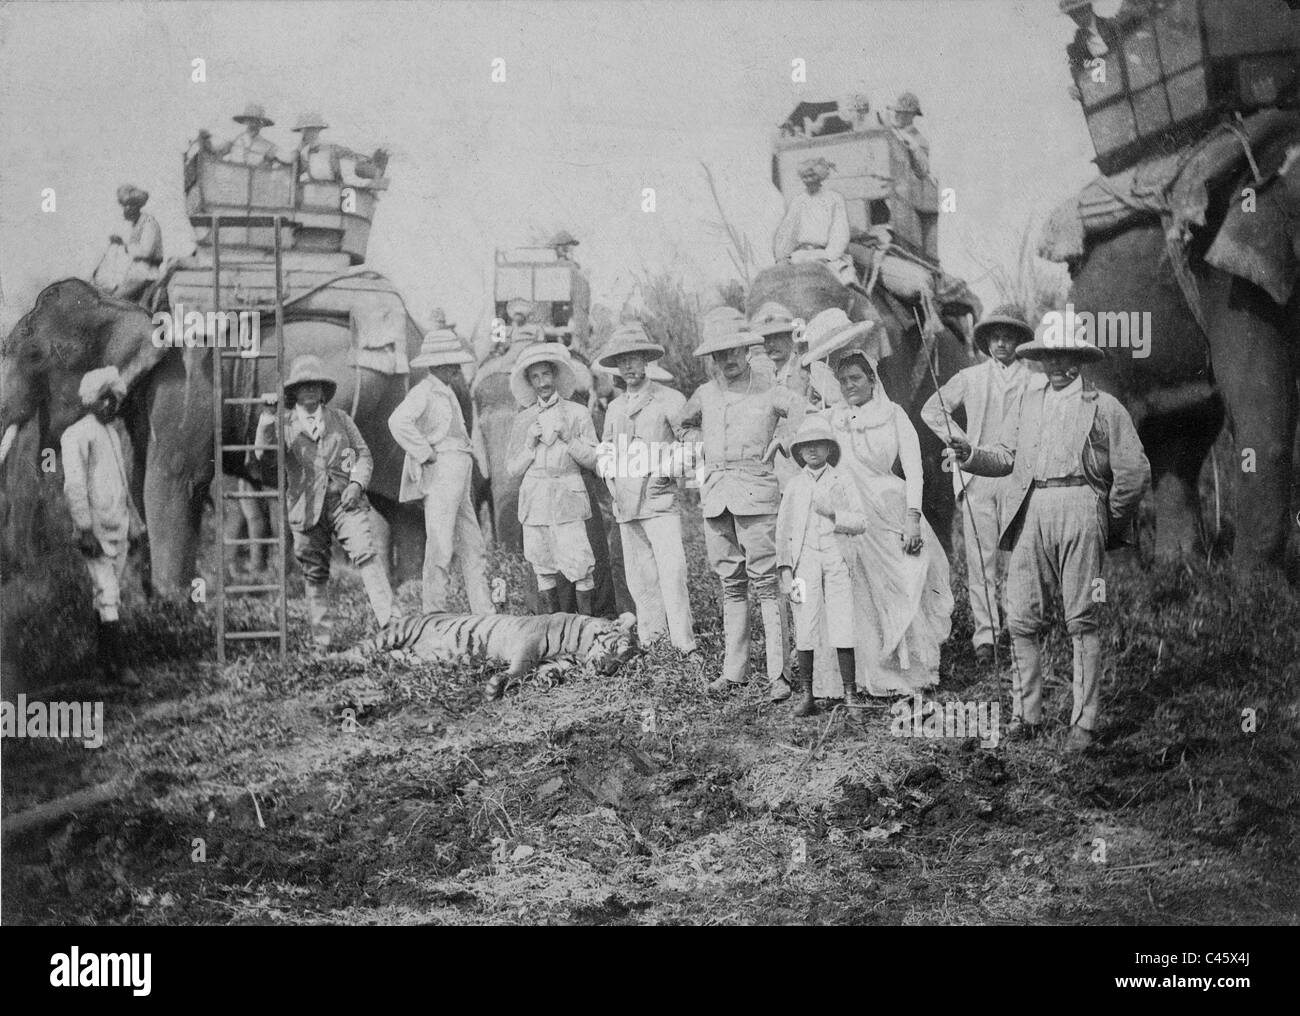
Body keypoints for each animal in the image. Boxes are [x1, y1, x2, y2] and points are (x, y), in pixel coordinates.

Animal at [2, 276, 434, 605]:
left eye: (35, 355)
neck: (125, 304)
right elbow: (142, 479)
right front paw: (152, 603)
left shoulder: (188, 382)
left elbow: (170, 483)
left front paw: (172, 606)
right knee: (403, 509)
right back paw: (410, 589)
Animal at [340, 613, 639, 701]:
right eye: (616, 649)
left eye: (624, 662)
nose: (607, 670)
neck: (579, 650)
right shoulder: (529, 641)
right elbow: (519, 667)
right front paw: (495, 687)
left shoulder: (554, 662)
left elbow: (549, 671)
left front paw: (546, 681)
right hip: (398, 632)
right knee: (358, 649)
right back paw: (334, 661)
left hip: (411, 655)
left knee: (389, 657)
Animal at [1060, 128, 1300, 582]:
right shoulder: (1227, 281)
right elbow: (1260, 409)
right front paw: (1255, 590)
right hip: (1095, 339)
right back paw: (1125, 582)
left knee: (1181, 438)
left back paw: (1178, 567)